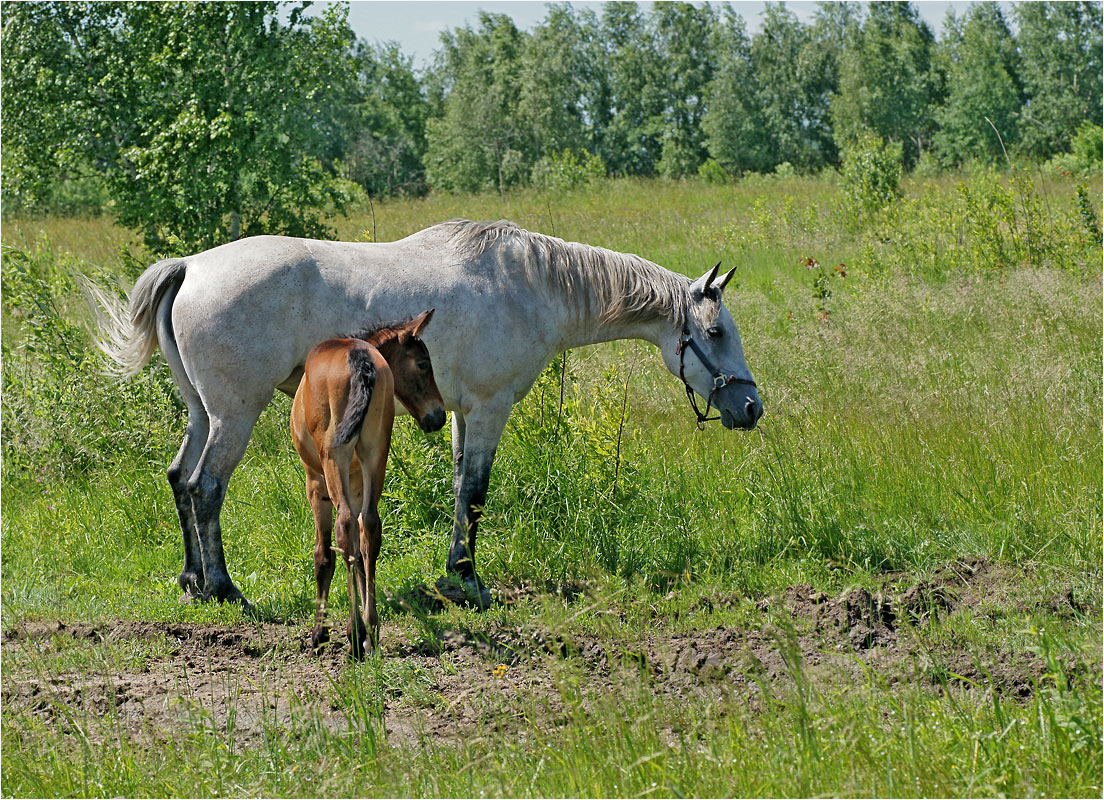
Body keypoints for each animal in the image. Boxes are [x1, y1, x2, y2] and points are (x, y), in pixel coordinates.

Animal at [94, 218, 759, 604]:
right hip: (234, 415)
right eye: (717, 331)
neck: (530, 285)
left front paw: (453, 573)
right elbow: (477, 491)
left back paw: (192, 582)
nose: (751, 406)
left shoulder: (463, 411)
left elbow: (463, 486)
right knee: (205, 487)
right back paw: (224, 588)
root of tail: (191, 266)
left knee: (179, 478)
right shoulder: (490, 408)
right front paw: (467, 578)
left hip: (202, 412)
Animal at [295, 306, 450, 653]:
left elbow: (324, 554)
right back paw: (370, 627)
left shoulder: (316, 482)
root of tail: (359, 360)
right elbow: (362, 543)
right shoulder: (356, 479)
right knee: (370, 526)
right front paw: (367, 627)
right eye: (423, 363)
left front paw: (319, 632)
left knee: (345, 527)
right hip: (377, 452)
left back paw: (354, 633)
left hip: (333, 457)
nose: (438, 417)